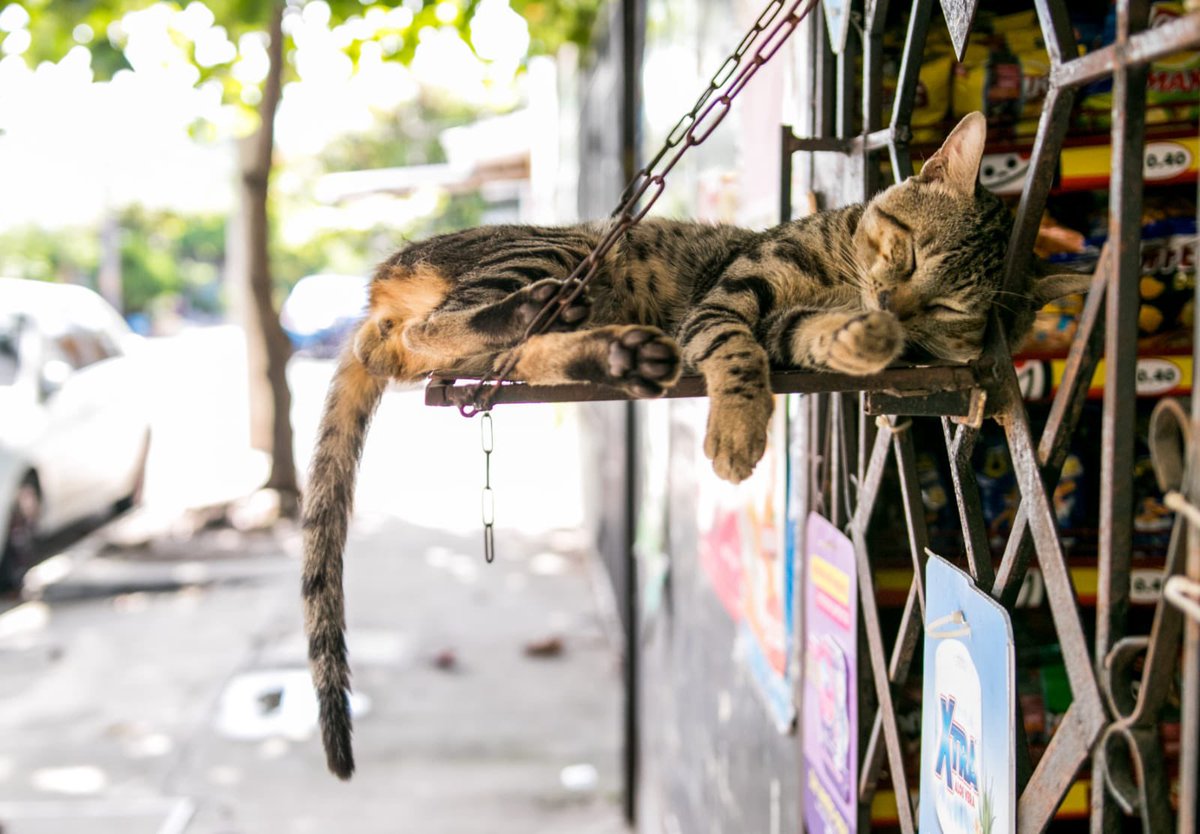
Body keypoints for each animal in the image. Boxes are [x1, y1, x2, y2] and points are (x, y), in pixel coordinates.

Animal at [297, 109, 1089, 777]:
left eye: (952, 306)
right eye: (913, 249)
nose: (894, 305)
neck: (842, 270)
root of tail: (376, 293)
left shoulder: (788, 332)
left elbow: (809, 339)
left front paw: (866, 343)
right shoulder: (737, 293)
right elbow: (737, 352)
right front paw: (738, 433)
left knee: (470, 351)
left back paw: (620, 354)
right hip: (558, 251)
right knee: (424, 334)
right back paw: (543, 321)